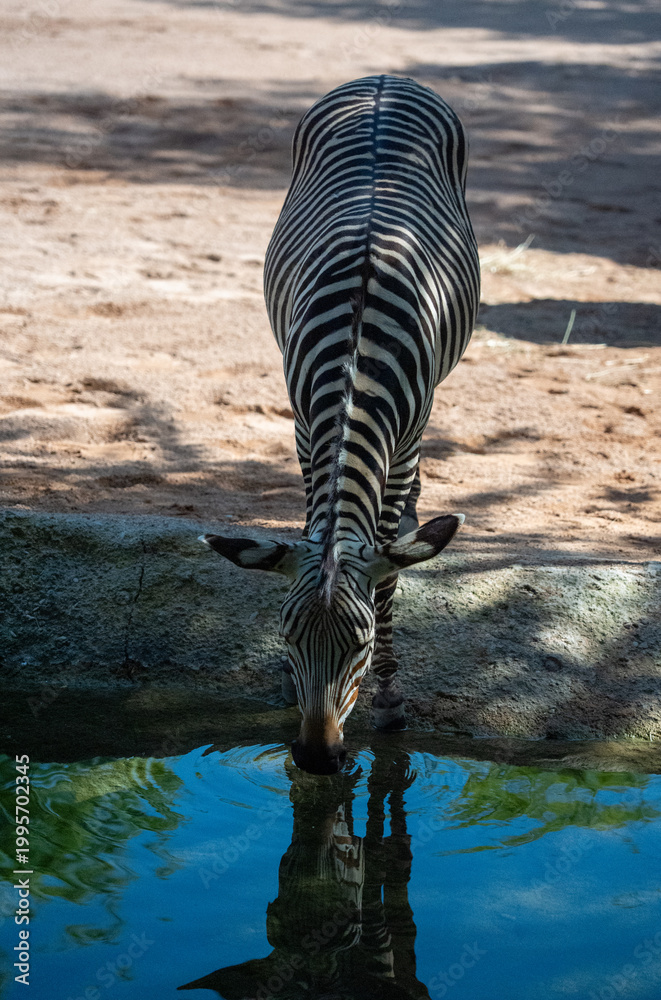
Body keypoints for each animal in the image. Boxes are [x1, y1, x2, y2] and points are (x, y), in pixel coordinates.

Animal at [201, 75, 480, 774]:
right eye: (287, 638)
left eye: (360, 644)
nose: (318, 758)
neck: (357, 353)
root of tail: (384, 79)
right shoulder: (305, 429)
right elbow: (311, 515)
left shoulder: (404, 442)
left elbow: (388, 570)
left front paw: (390, 701)